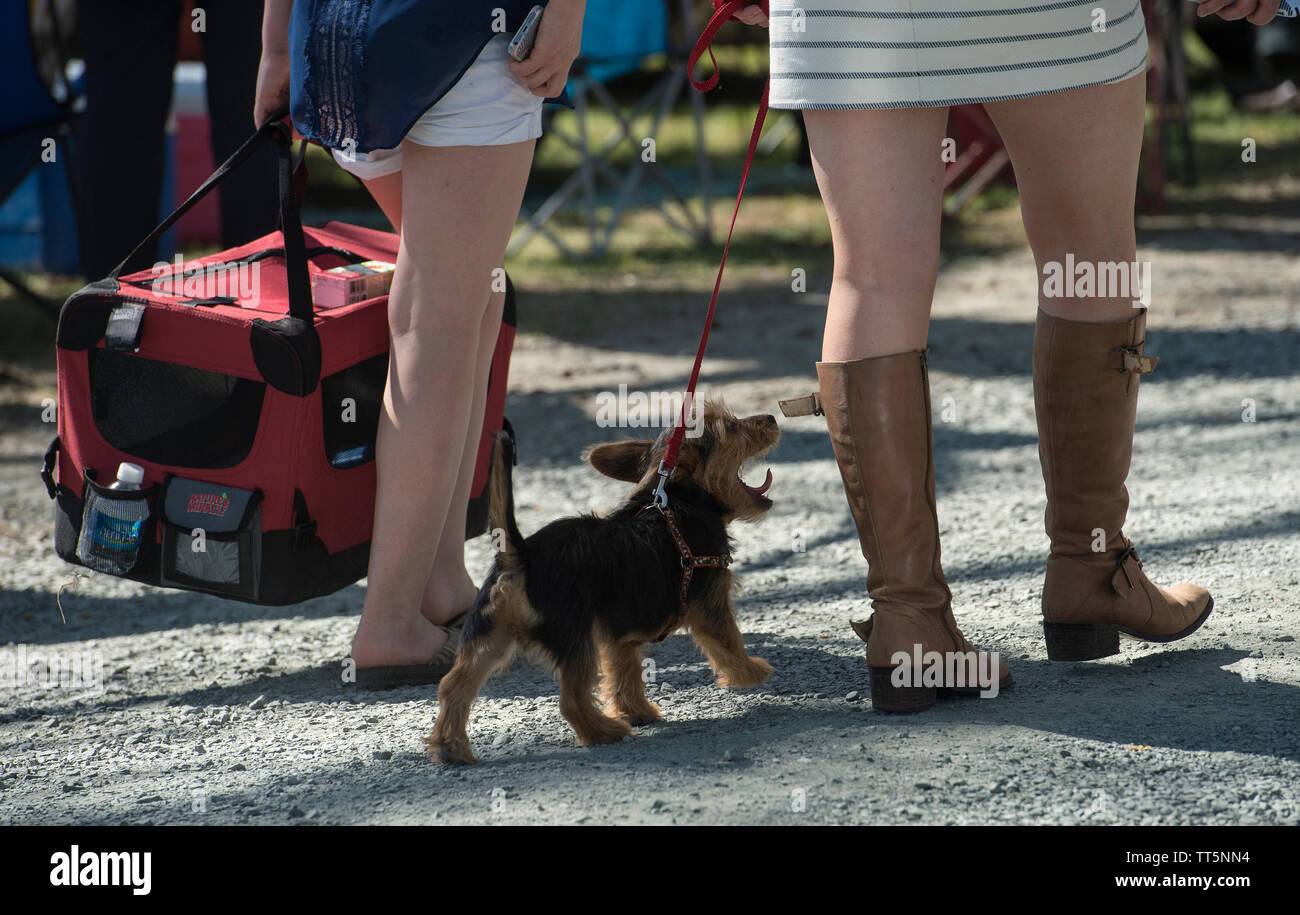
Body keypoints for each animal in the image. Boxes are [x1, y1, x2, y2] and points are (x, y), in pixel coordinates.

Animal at [426, 400, 774, 764]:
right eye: (732, 428)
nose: (771, 418)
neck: (680, 499)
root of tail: (522, 555)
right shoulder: (710, 606)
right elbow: (730, 640)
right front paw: (751, 672)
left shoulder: (618, 634)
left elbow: (625, 672)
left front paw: (635, 711)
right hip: (574, 639)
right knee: (571, 701)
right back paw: (603, 732)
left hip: (488, 636)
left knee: (453, 686)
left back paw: (450, 747)